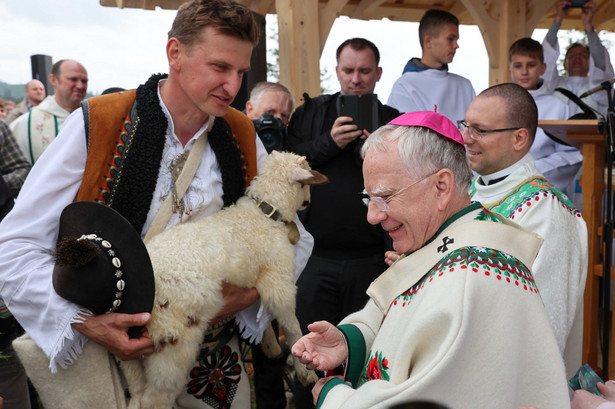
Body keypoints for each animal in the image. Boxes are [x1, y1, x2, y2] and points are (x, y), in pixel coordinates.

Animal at [122, 151, 330, 408]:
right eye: (305, 182)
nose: (307, 201)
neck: (264, 214)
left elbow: (261, 317)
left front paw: (271, 347)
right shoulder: (278, 280)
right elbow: (291, 326)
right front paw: (305, 372)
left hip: (130, 353)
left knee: (136, 391)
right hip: (171, 342)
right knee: (154, 399)